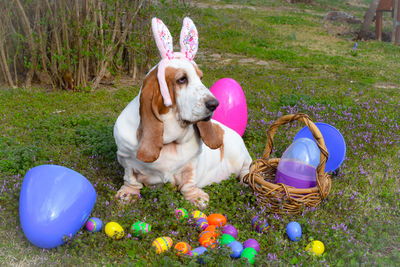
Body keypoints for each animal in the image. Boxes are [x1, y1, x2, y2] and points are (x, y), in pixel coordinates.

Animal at [113, 17, 250, 209]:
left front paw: (196, 197)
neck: (169, 140)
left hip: (240, 153)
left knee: (247, 167)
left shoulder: (191, 165)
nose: (214, 104)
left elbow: (188, 182)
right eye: (182, 79)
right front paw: (127, 193)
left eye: (200, 78)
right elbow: (130, 178)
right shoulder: (125, 159)